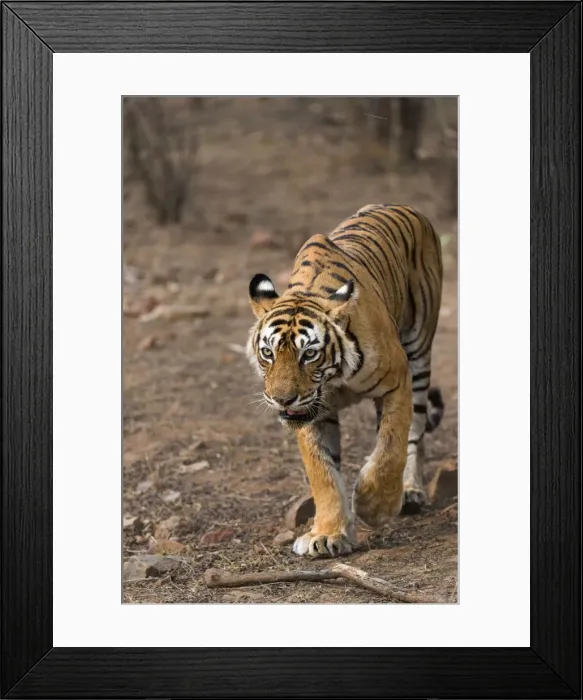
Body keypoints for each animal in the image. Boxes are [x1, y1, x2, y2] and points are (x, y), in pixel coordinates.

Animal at [247, 204, 444, 558]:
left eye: (309, 354)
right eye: (268, 352)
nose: (282, 399)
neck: (334, 379)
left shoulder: (398, 380)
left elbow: (390, 446)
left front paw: (373, 507)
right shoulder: (312, 414)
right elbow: (323, 473)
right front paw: (327, 534)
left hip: (420, 351)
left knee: (415, 434)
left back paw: (410, 491)